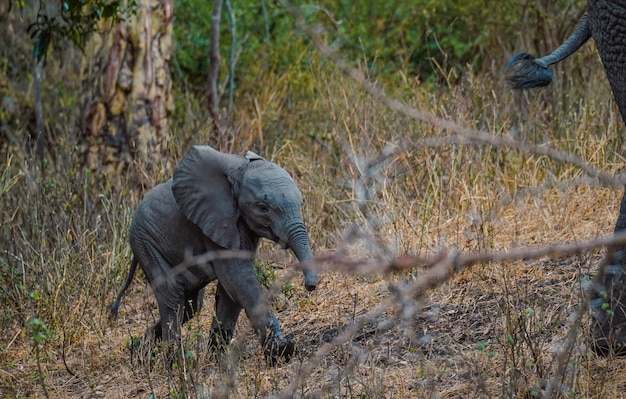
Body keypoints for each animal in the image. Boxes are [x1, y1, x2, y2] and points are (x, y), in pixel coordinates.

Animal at [109, 146, 316, 366]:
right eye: (262, 208)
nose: (309, 286)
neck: (239, 170)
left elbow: (230, 290)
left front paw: (218, 361)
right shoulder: (213, 224)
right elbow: (238, 280)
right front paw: (280, 351)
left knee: (191, 305)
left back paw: (138, 351)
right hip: (146, 242)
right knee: (173, 297)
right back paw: (176, 365)